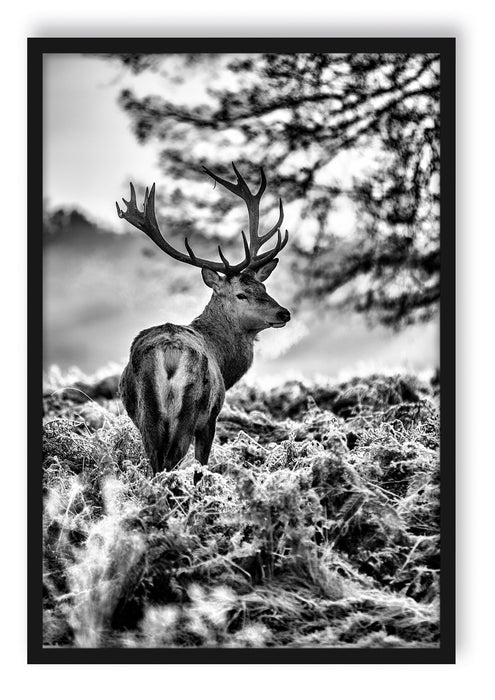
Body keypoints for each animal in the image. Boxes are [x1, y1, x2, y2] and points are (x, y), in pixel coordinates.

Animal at [116, 164, 290, 482]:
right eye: (241, 294)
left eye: (264, 288)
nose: (284, 313)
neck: (223, 359)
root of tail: (170, 353)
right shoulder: (212, 417)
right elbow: (202, 463)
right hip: (190, 411)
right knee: (171, 462)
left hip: (147, 415)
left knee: (155, 463)